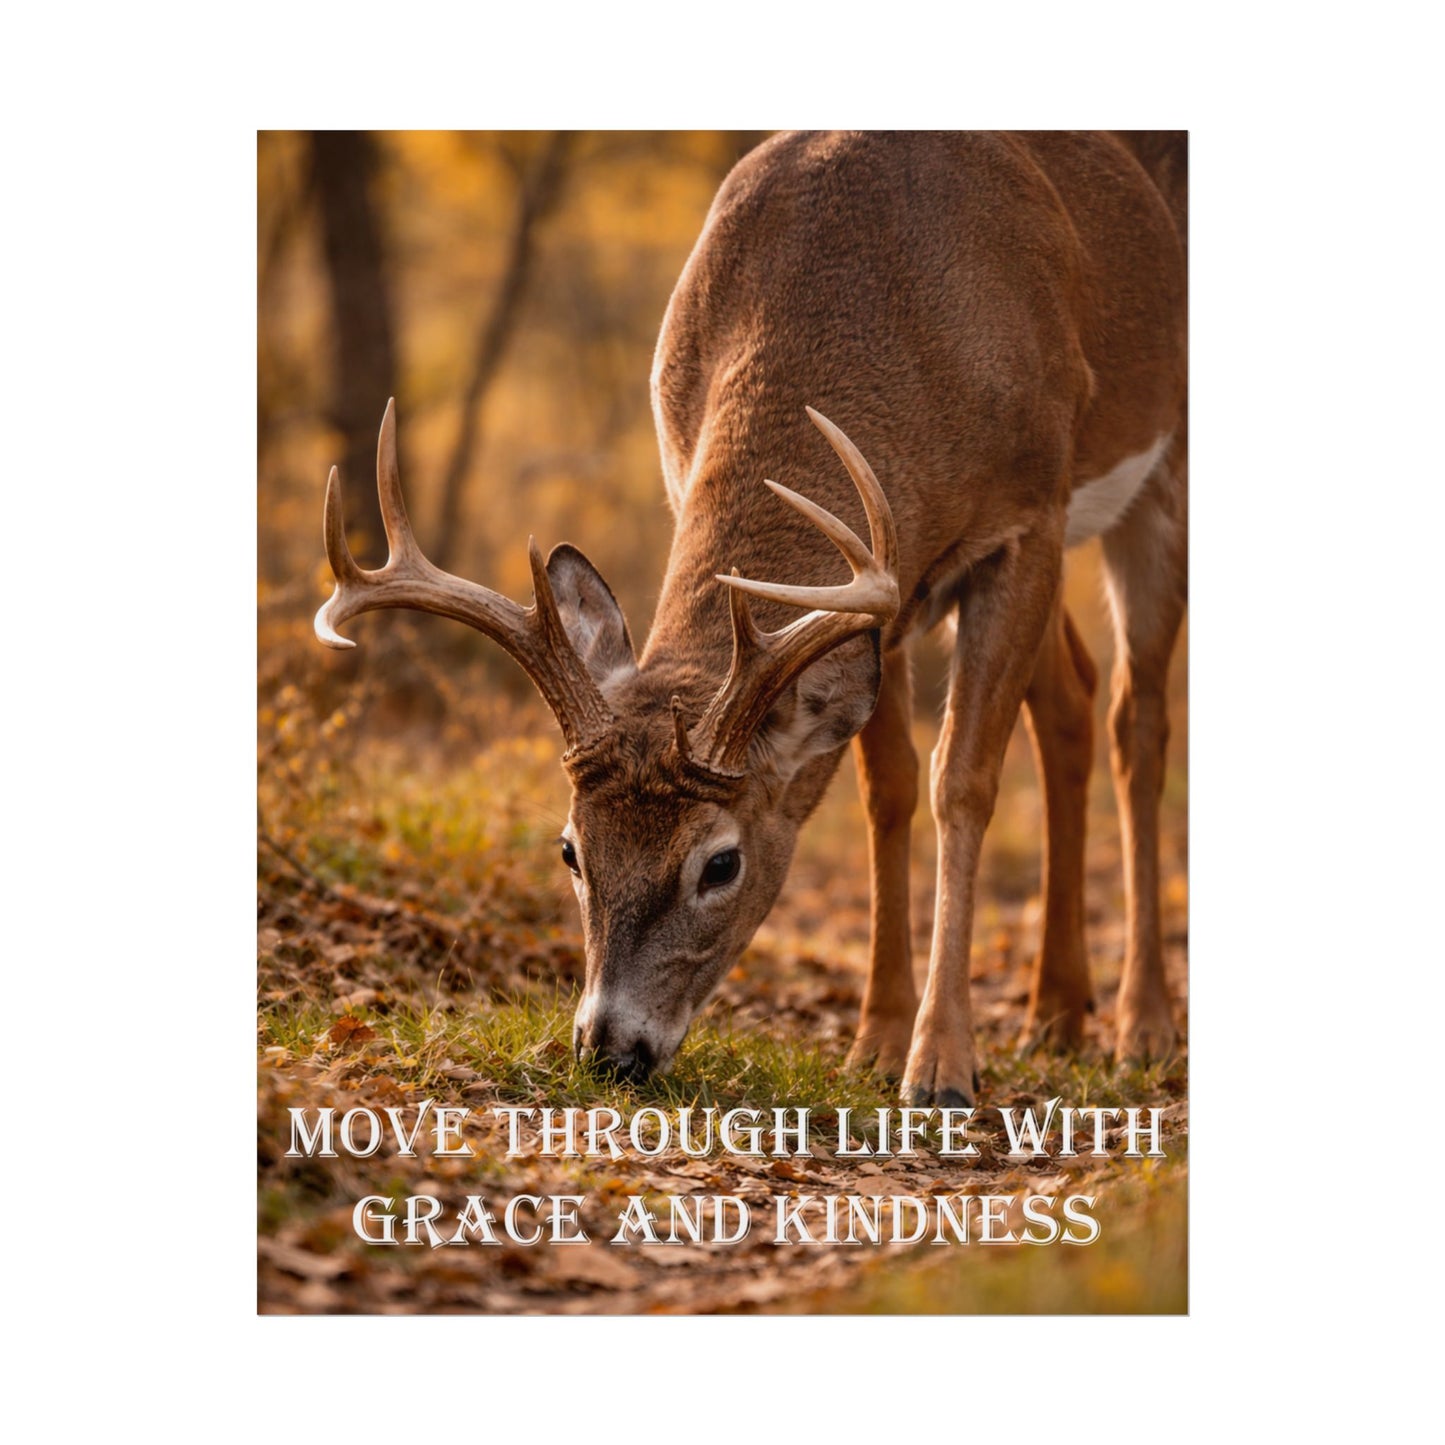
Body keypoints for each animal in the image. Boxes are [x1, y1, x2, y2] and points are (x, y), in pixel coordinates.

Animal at [315, 131, 1187, 1109]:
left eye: (720, 862)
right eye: (571, 848)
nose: (610, 1051)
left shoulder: (1024, 517)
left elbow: (959, 781)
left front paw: (940, 1064)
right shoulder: (885, 581)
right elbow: (885, 787)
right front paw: (876, 1040)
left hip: (1154, 473)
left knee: (1136, 718)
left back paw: (1143, 1024)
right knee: (1073, 696)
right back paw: (1057, 1011)